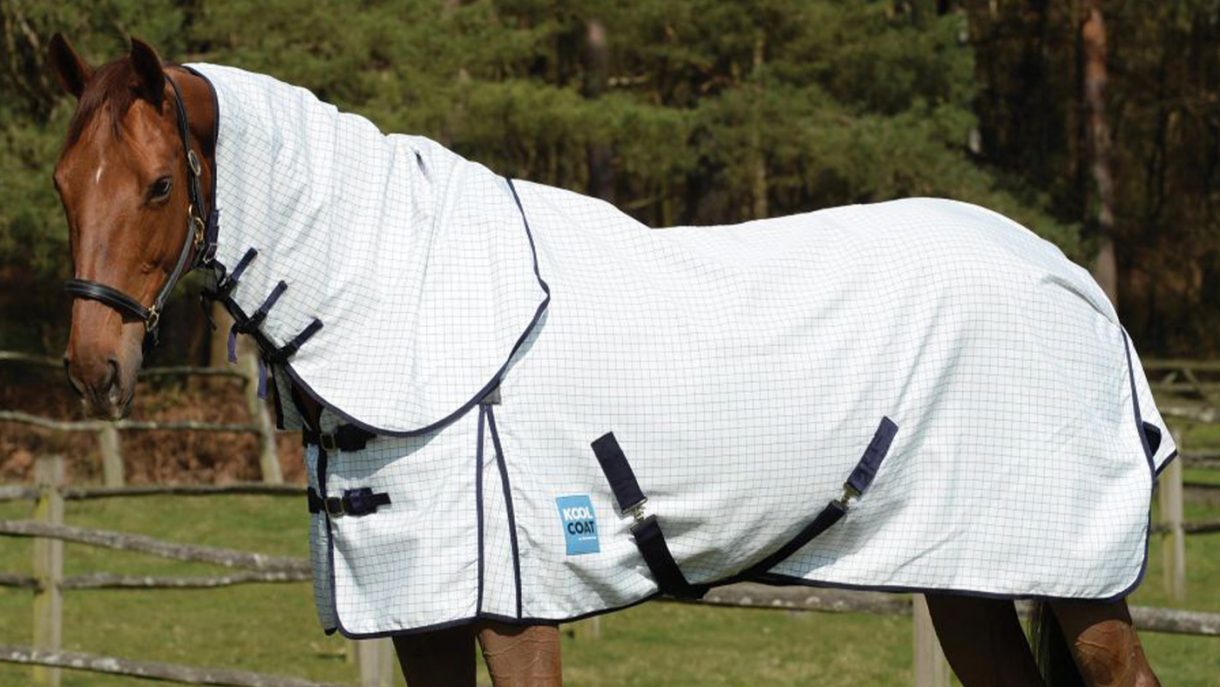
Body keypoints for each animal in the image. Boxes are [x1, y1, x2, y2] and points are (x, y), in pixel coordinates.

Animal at [48, 35, 1164, 686]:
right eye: (63, 183)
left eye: (159, 185)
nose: (94, 367)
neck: (408, 295)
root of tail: (1075, 281)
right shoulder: (418, 611)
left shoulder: (516, 608)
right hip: (965, 573)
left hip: (1077, 580)